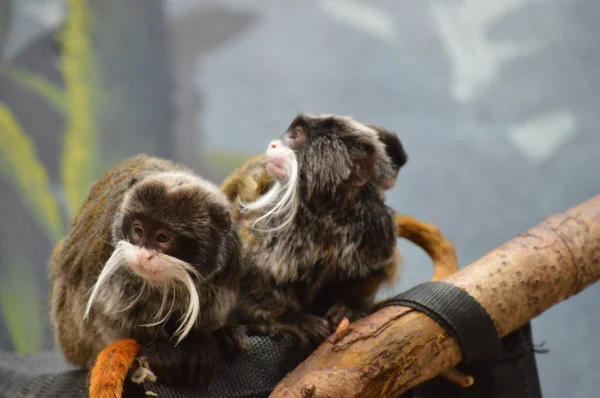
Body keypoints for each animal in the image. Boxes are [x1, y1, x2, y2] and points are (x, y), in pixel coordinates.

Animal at [49, 154, 245, 396]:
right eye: (138, 231)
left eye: (163, 237)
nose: (143, 255)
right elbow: (106, 313)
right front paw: (158, 349)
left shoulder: (226, 265)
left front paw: (199, 341)